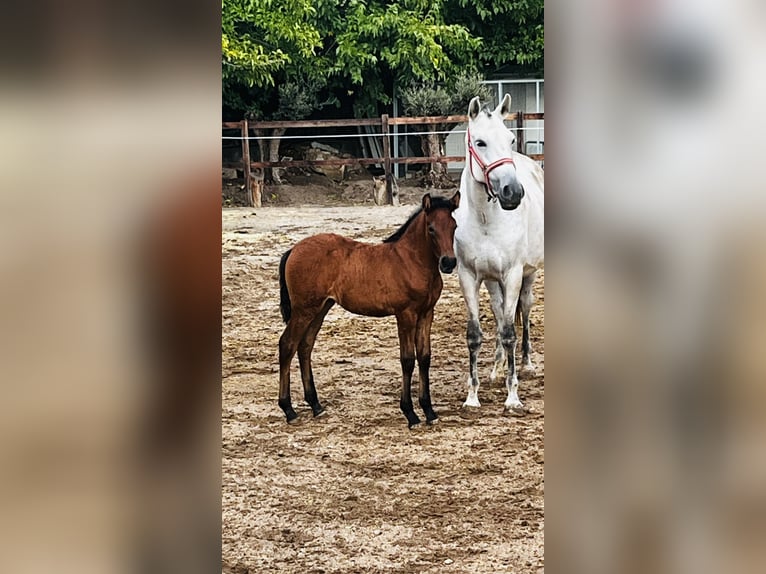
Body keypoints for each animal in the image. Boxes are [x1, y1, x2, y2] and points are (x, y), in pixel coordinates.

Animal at [456, 95, 544, 414]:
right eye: (480, 142)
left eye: (509, 139)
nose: (512, 192)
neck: (485, 220)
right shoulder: (469, 276)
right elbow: (474, 334)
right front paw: (472, 396)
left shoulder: (513, 274)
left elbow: (510, 333)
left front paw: (513, 396)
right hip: (493, 281)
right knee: (497, 310)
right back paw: (496, 367)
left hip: (528, 275)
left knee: (525, 310)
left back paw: (527, 363)